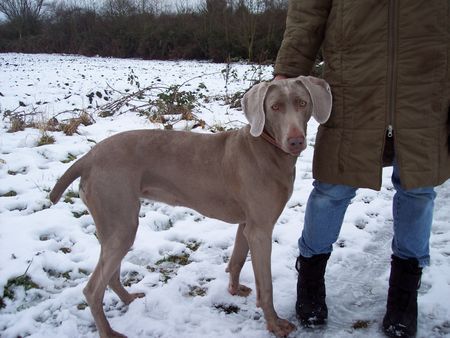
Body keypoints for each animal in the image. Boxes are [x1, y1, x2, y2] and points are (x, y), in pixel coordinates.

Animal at [49, 76, 332, 338]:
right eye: (274, 107)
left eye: (302, 103)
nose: (296, 141)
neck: (266, 147)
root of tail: (87, 158)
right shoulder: (261, 229)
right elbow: (266, 284)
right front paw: (275, 324)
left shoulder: (247, 224)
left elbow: (237, 259)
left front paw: (234, 290)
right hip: (121, 222)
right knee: (92, 288)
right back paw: (109, 332)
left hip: (117, 225)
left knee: (112, 275)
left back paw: (129, 300)